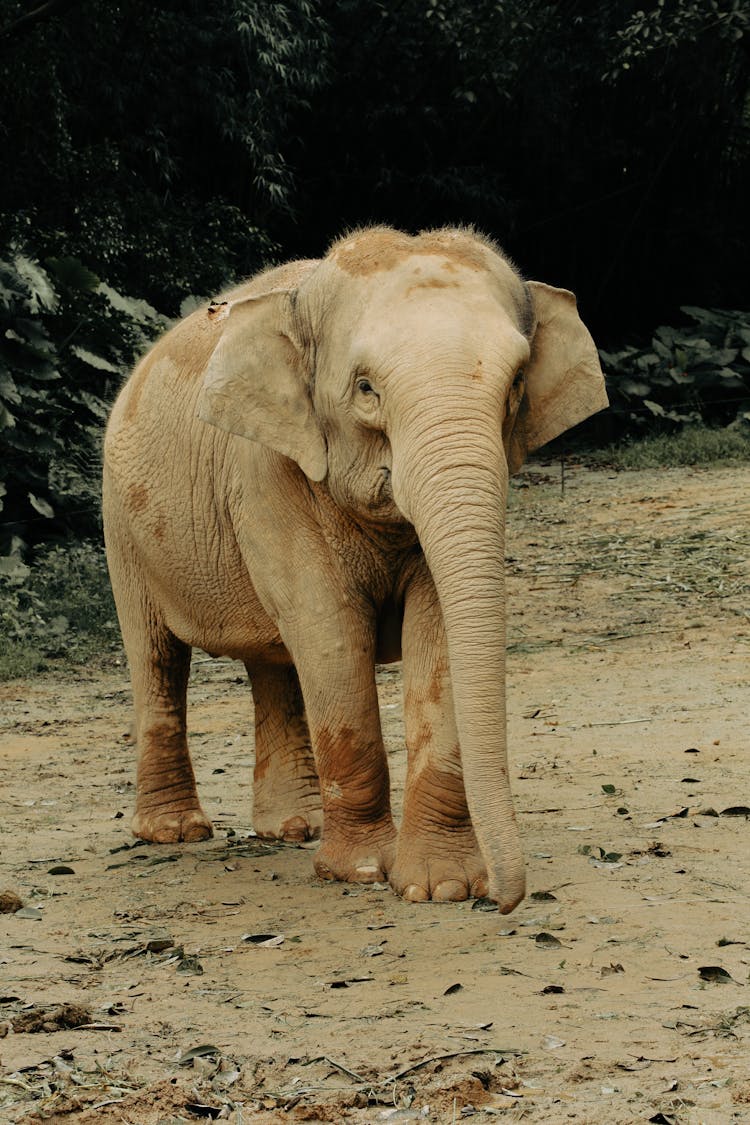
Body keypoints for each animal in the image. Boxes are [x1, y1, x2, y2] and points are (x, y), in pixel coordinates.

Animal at [104, 226, 611, 913]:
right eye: (366, 388)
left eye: (514, 386)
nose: (504, 901)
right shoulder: (266, 468)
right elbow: (331, 631)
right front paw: (364, 872)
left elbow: (435, 631)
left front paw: (441, 886)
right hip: (121, 526)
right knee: (156, 656)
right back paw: (175, 833)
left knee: (272, 663)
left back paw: (297, 828)